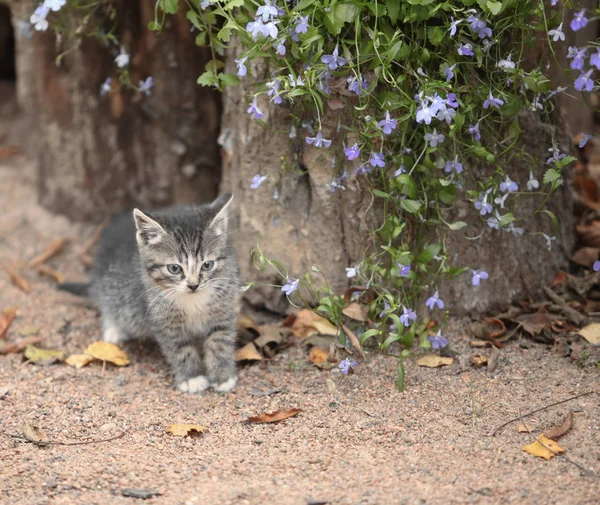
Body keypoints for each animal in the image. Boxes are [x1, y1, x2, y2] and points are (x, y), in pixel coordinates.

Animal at [59, 193, 240, 394]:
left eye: (207, 265)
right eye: (174, 268)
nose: (193, 285)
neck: (192, 300)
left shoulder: (223, 311)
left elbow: (220, 342)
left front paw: (223, 377)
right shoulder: (164, 322)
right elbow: (180, 349)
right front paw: (192, 378)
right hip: (113, 289)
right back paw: (114, 330)